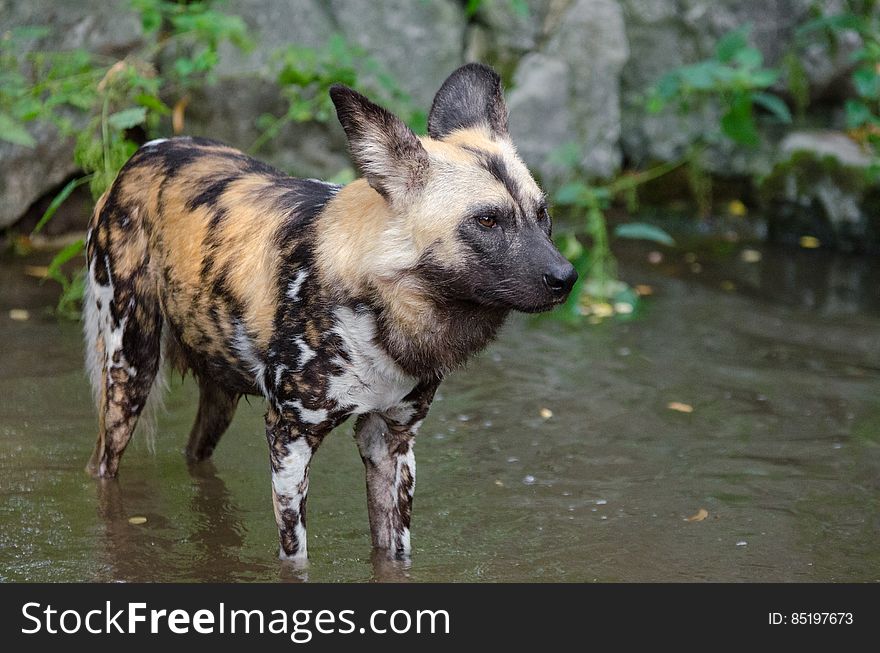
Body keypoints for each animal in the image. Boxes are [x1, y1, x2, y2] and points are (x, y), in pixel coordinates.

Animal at [82, 62, 576, 560]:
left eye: (543, 214)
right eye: (487, 221)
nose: (566, 278)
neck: (380, 308)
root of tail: (146, 151)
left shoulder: (391, 441)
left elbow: (394, 552)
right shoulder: (290, 438)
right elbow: (295, 553)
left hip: (217, 391)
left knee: (195, 454)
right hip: (130, 371)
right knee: (103, 464)